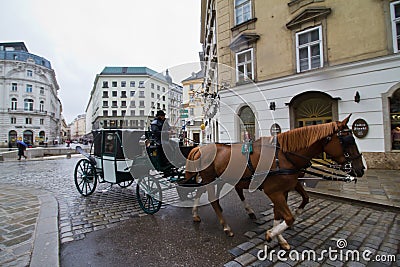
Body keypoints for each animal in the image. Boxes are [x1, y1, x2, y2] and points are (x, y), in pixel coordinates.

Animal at [183, 114, 364, 249]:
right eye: (348, 141)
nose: (361, 169)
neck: (284, 156)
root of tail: (200, 147)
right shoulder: (274, 192)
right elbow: (288, 217)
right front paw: (272, 234)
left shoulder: (286, 188)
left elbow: (298, 203)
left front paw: (281, 236)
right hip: (209, 178)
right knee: (212, 199)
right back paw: (226, 226)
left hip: (219, 178)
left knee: (205, 193)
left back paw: (197, 214)